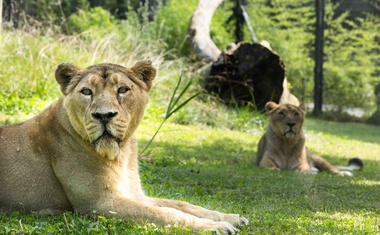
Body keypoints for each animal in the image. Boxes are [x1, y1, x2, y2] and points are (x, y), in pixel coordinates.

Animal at [0, 61, 248, 234]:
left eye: (122, 90)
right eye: (86, 92)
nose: (104, 115)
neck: (122, 153)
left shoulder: (134, 193)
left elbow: (181, 204)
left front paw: (230, 217)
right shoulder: (101, 204)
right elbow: (165, 214)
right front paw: (215, 227)